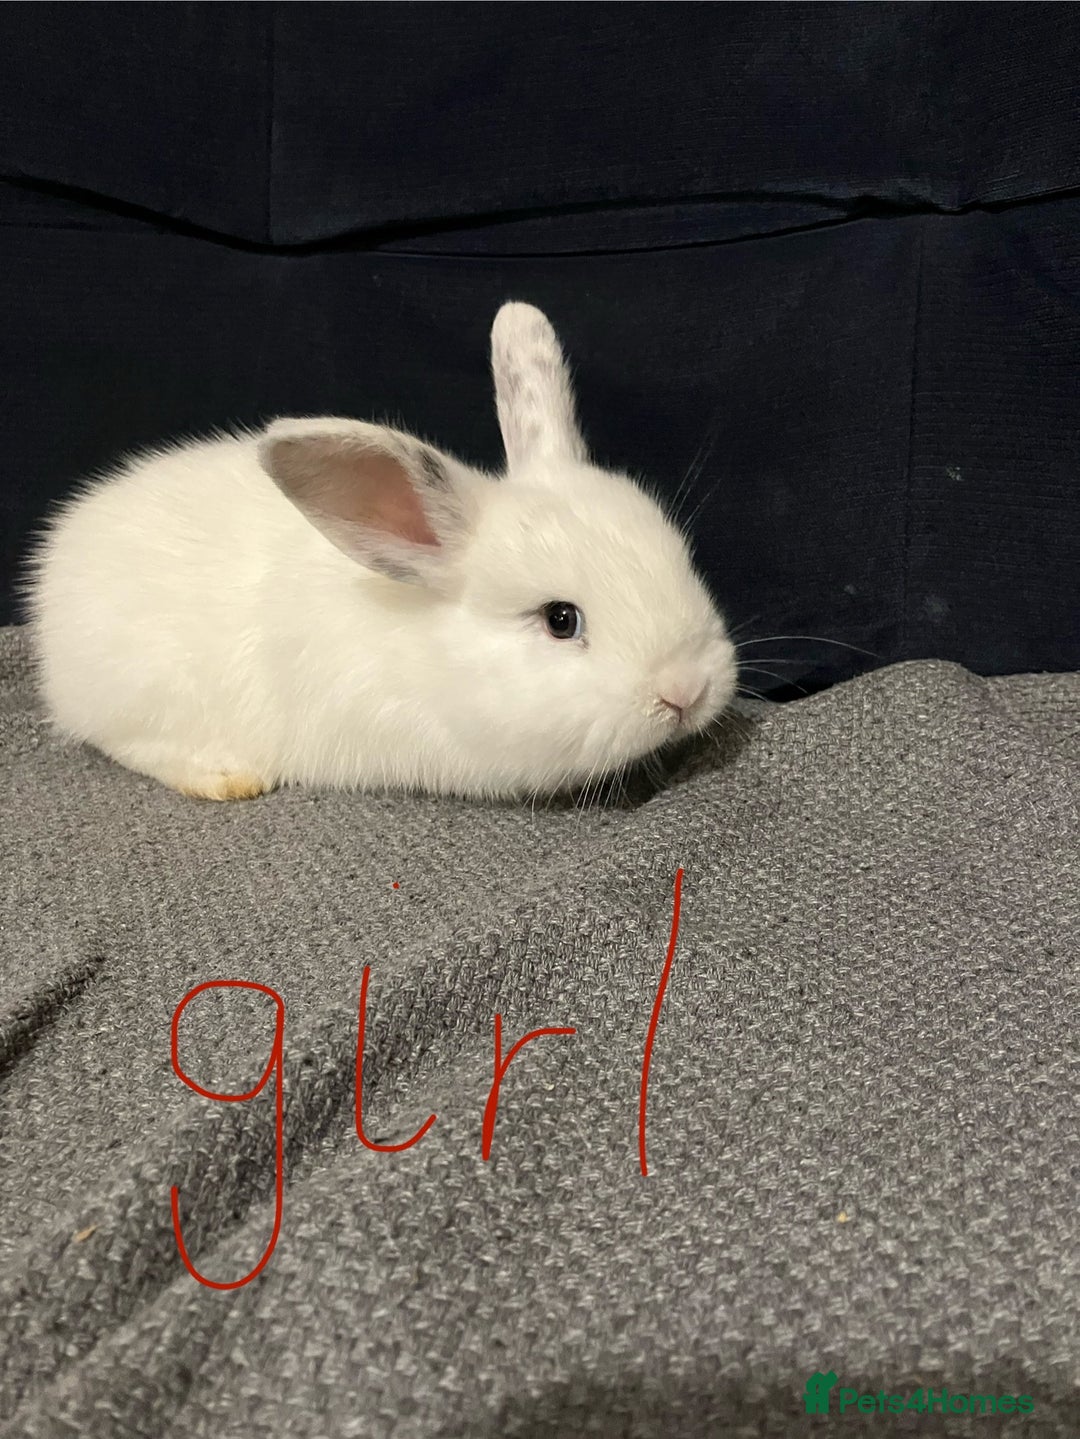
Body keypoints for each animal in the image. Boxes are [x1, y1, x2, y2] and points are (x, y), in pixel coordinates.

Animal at [23, 302, 737, 802]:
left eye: (680, 558)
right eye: (561, 620)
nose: (687, 690)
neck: (431, 644)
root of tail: (59, 562)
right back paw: (226, 775)